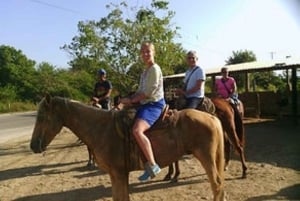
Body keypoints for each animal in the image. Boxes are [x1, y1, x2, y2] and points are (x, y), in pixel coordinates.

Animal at [29, 95, 225, 201]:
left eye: (43, 117)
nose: (33, 146)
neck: (102, 128)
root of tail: (211, 117)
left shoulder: (118, 173)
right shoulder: (118, 174)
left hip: (206, 158)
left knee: (217, 186)